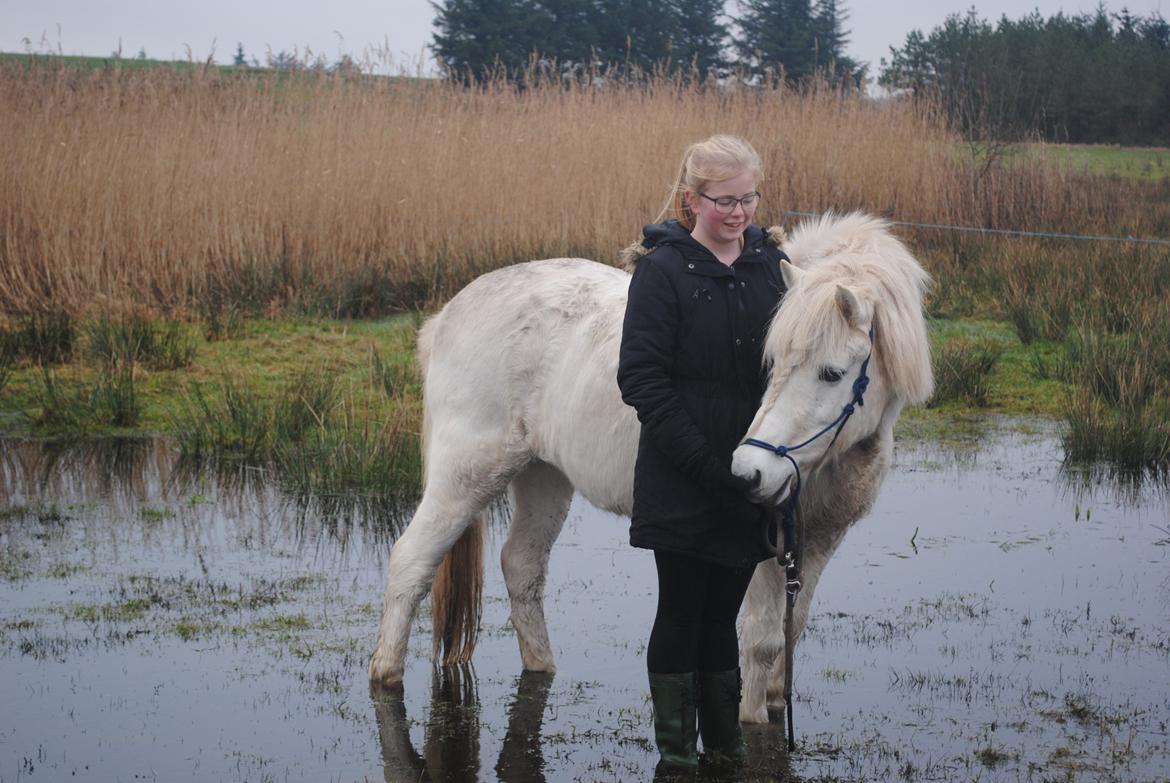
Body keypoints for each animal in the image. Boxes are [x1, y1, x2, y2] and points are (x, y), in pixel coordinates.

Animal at [367, 211, 931, 720]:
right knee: (411, 562)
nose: (749, 473)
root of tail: (447, 316)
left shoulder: (817, 539)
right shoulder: (759, 548)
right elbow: (761, 641)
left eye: (831, 373)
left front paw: (776, 701)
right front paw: (753, 720)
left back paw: (542, 667)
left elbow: (791, 634)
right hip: (465, 475)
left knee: (522, 565)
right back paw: (385, 675)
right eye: (771, 364)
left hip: (543, 477)